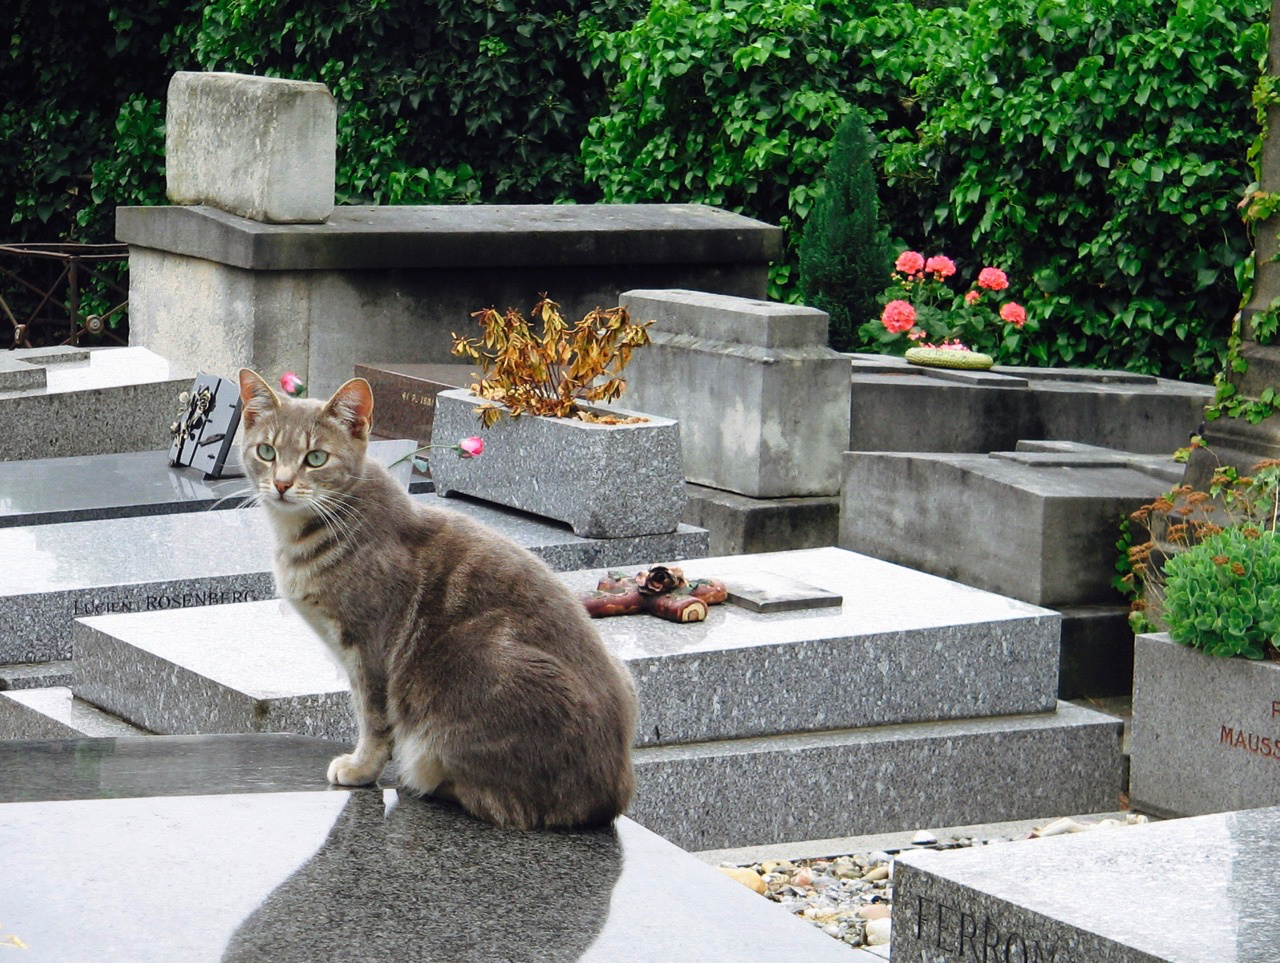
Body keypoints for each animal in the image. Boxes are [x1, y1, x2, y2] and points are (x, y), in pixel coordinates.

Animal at [238, 368, 637, 829]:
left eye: (316, 458)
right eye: (266, 452)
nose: (282, 483)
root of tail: (615, 792)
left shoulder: (370, 648)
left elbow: (373, 718)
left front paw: (360, 768)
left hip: (475, 664)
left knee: (502, 802)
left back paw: (424, 779)